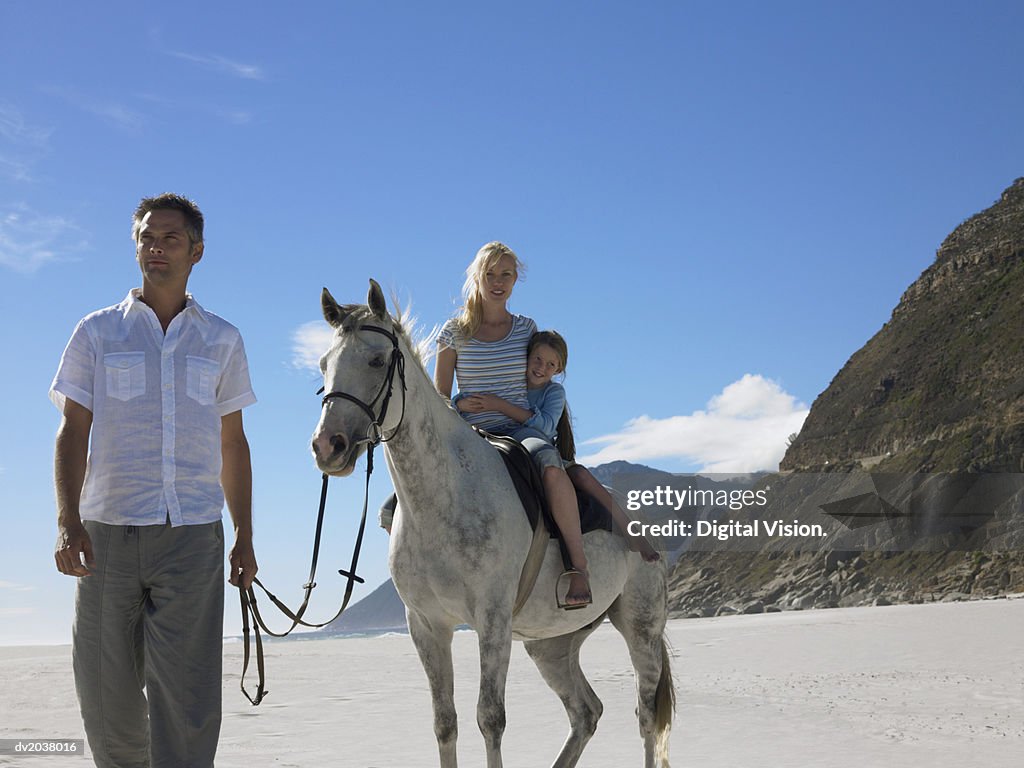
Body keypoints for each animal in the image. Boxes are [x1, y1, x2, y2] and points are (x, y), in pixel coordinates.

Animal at [309, 282, 679, 768]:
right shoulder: (426, 625)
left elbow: (490, 718)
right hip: (549, 645)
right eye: (324, 364)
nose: (327, 446)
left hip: (641, 628)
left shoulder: (492, 620)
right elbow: (444, 721)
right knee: (587, 712)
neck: (443, 497)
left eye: (375, 360)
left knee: (646, 716)